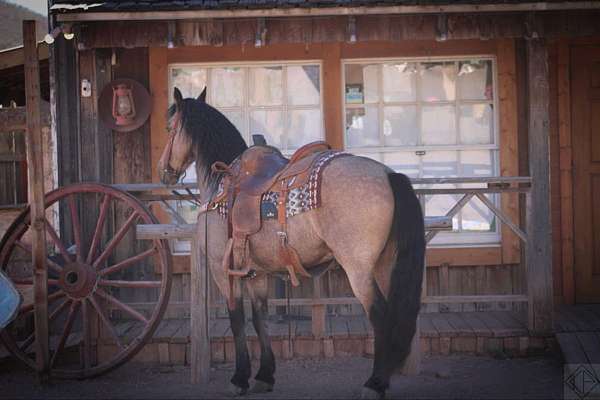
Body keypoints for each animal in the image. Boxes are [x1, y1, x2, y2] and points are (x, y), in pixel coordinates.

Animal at [157, 86, 424, 396]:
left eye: (169, 128)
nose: (164, 170)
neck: (222, 185)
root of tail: (389, 175)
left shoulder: (222, 270)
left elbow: (236, 319)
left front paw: (239, 378)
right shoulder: (256, 273)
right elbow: (259, 318)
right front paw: (264, 375)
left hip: (359, 270)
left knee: (380, 316)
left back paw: (375, 383)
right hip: (385, 265)